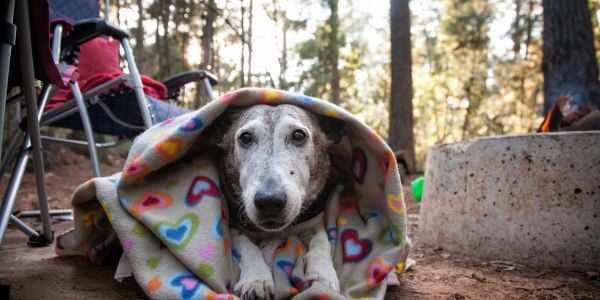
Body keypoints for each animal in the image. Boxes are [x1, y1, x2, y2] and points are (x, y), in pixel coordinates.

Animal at [210, 104, 342, 298]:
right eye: (245, 137)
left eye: (298, 135)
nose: (269, 201)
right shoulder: (232, 226)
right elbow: (247, 246)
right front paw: (256, 279)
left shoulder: (314, 222)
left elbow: (322, 240)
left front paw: (323, 275)